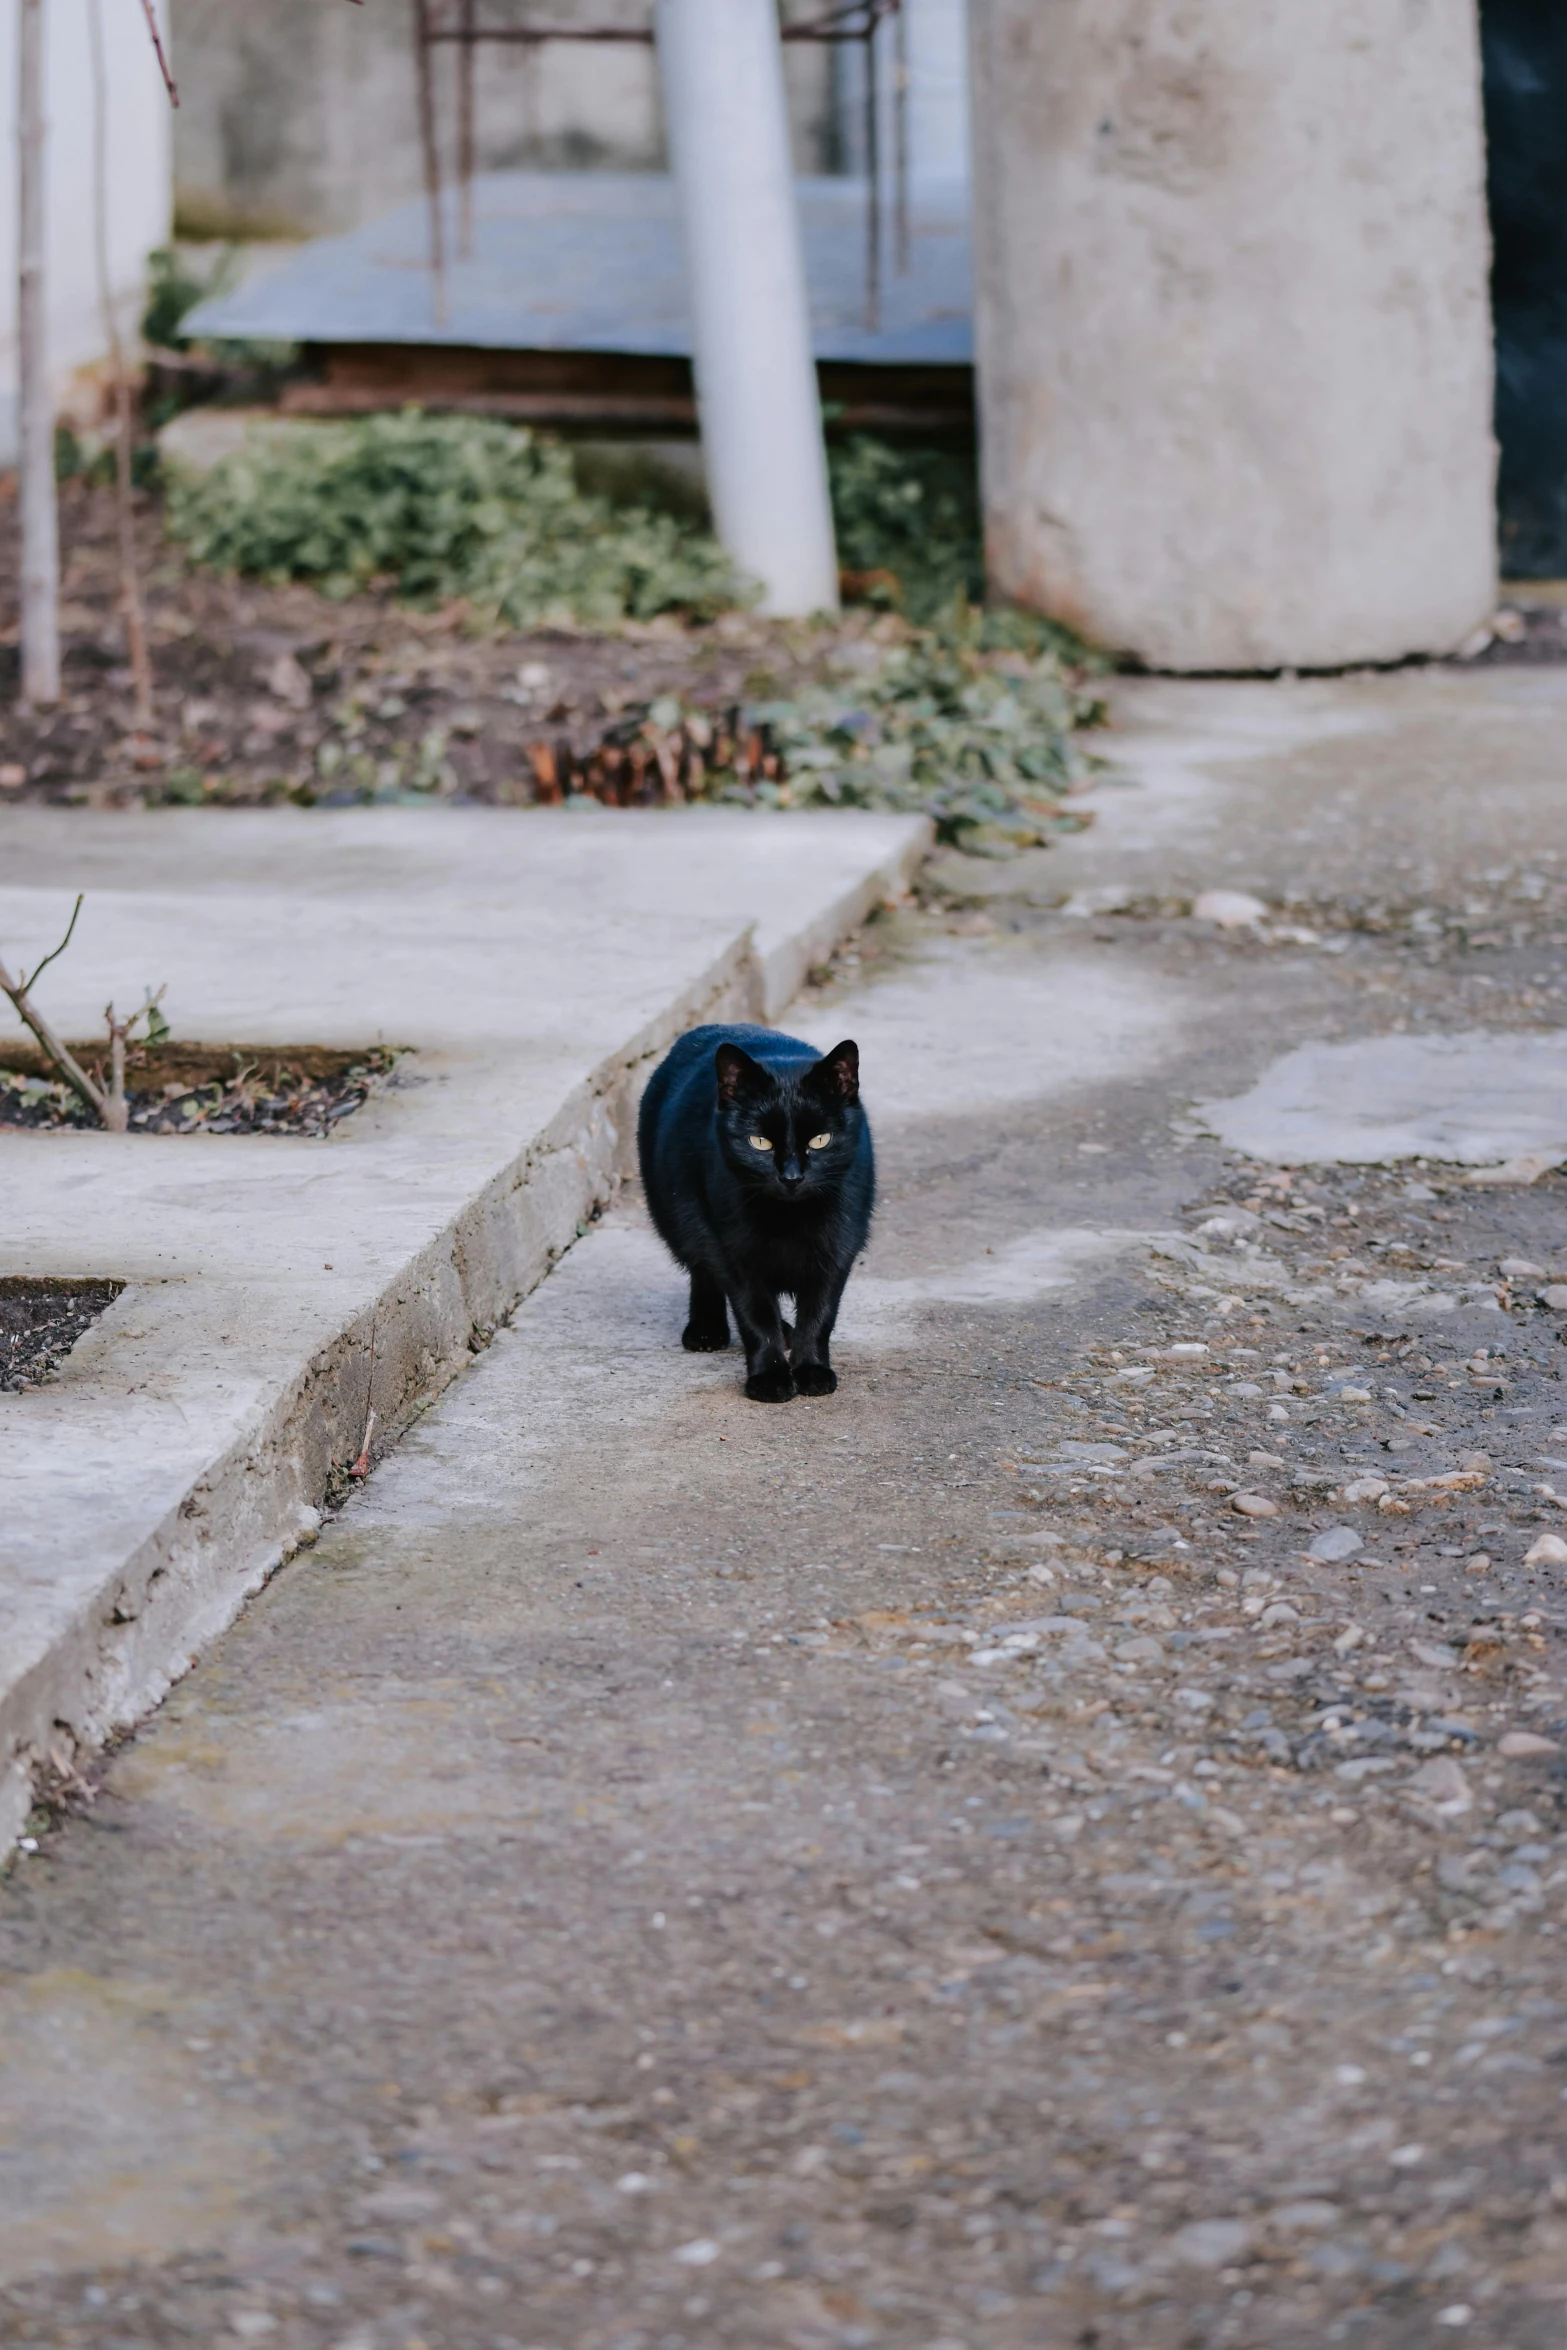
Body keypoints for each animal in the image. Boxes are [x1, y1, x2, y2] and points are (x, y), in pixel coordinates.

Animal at [643, 1024, 878, 1391]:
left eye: (820, 1140)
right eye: (760, 1143)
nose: (792, 1177)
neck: (788, 1218)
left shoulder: (839, 1248)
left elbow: (820, 1314)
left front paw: (811, 1369)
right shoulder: (732, 1253)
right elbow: (755, 1317)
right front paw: (770, 1378)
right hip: (679, 1218)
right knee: (703, 1270)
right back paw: (707, 1329)